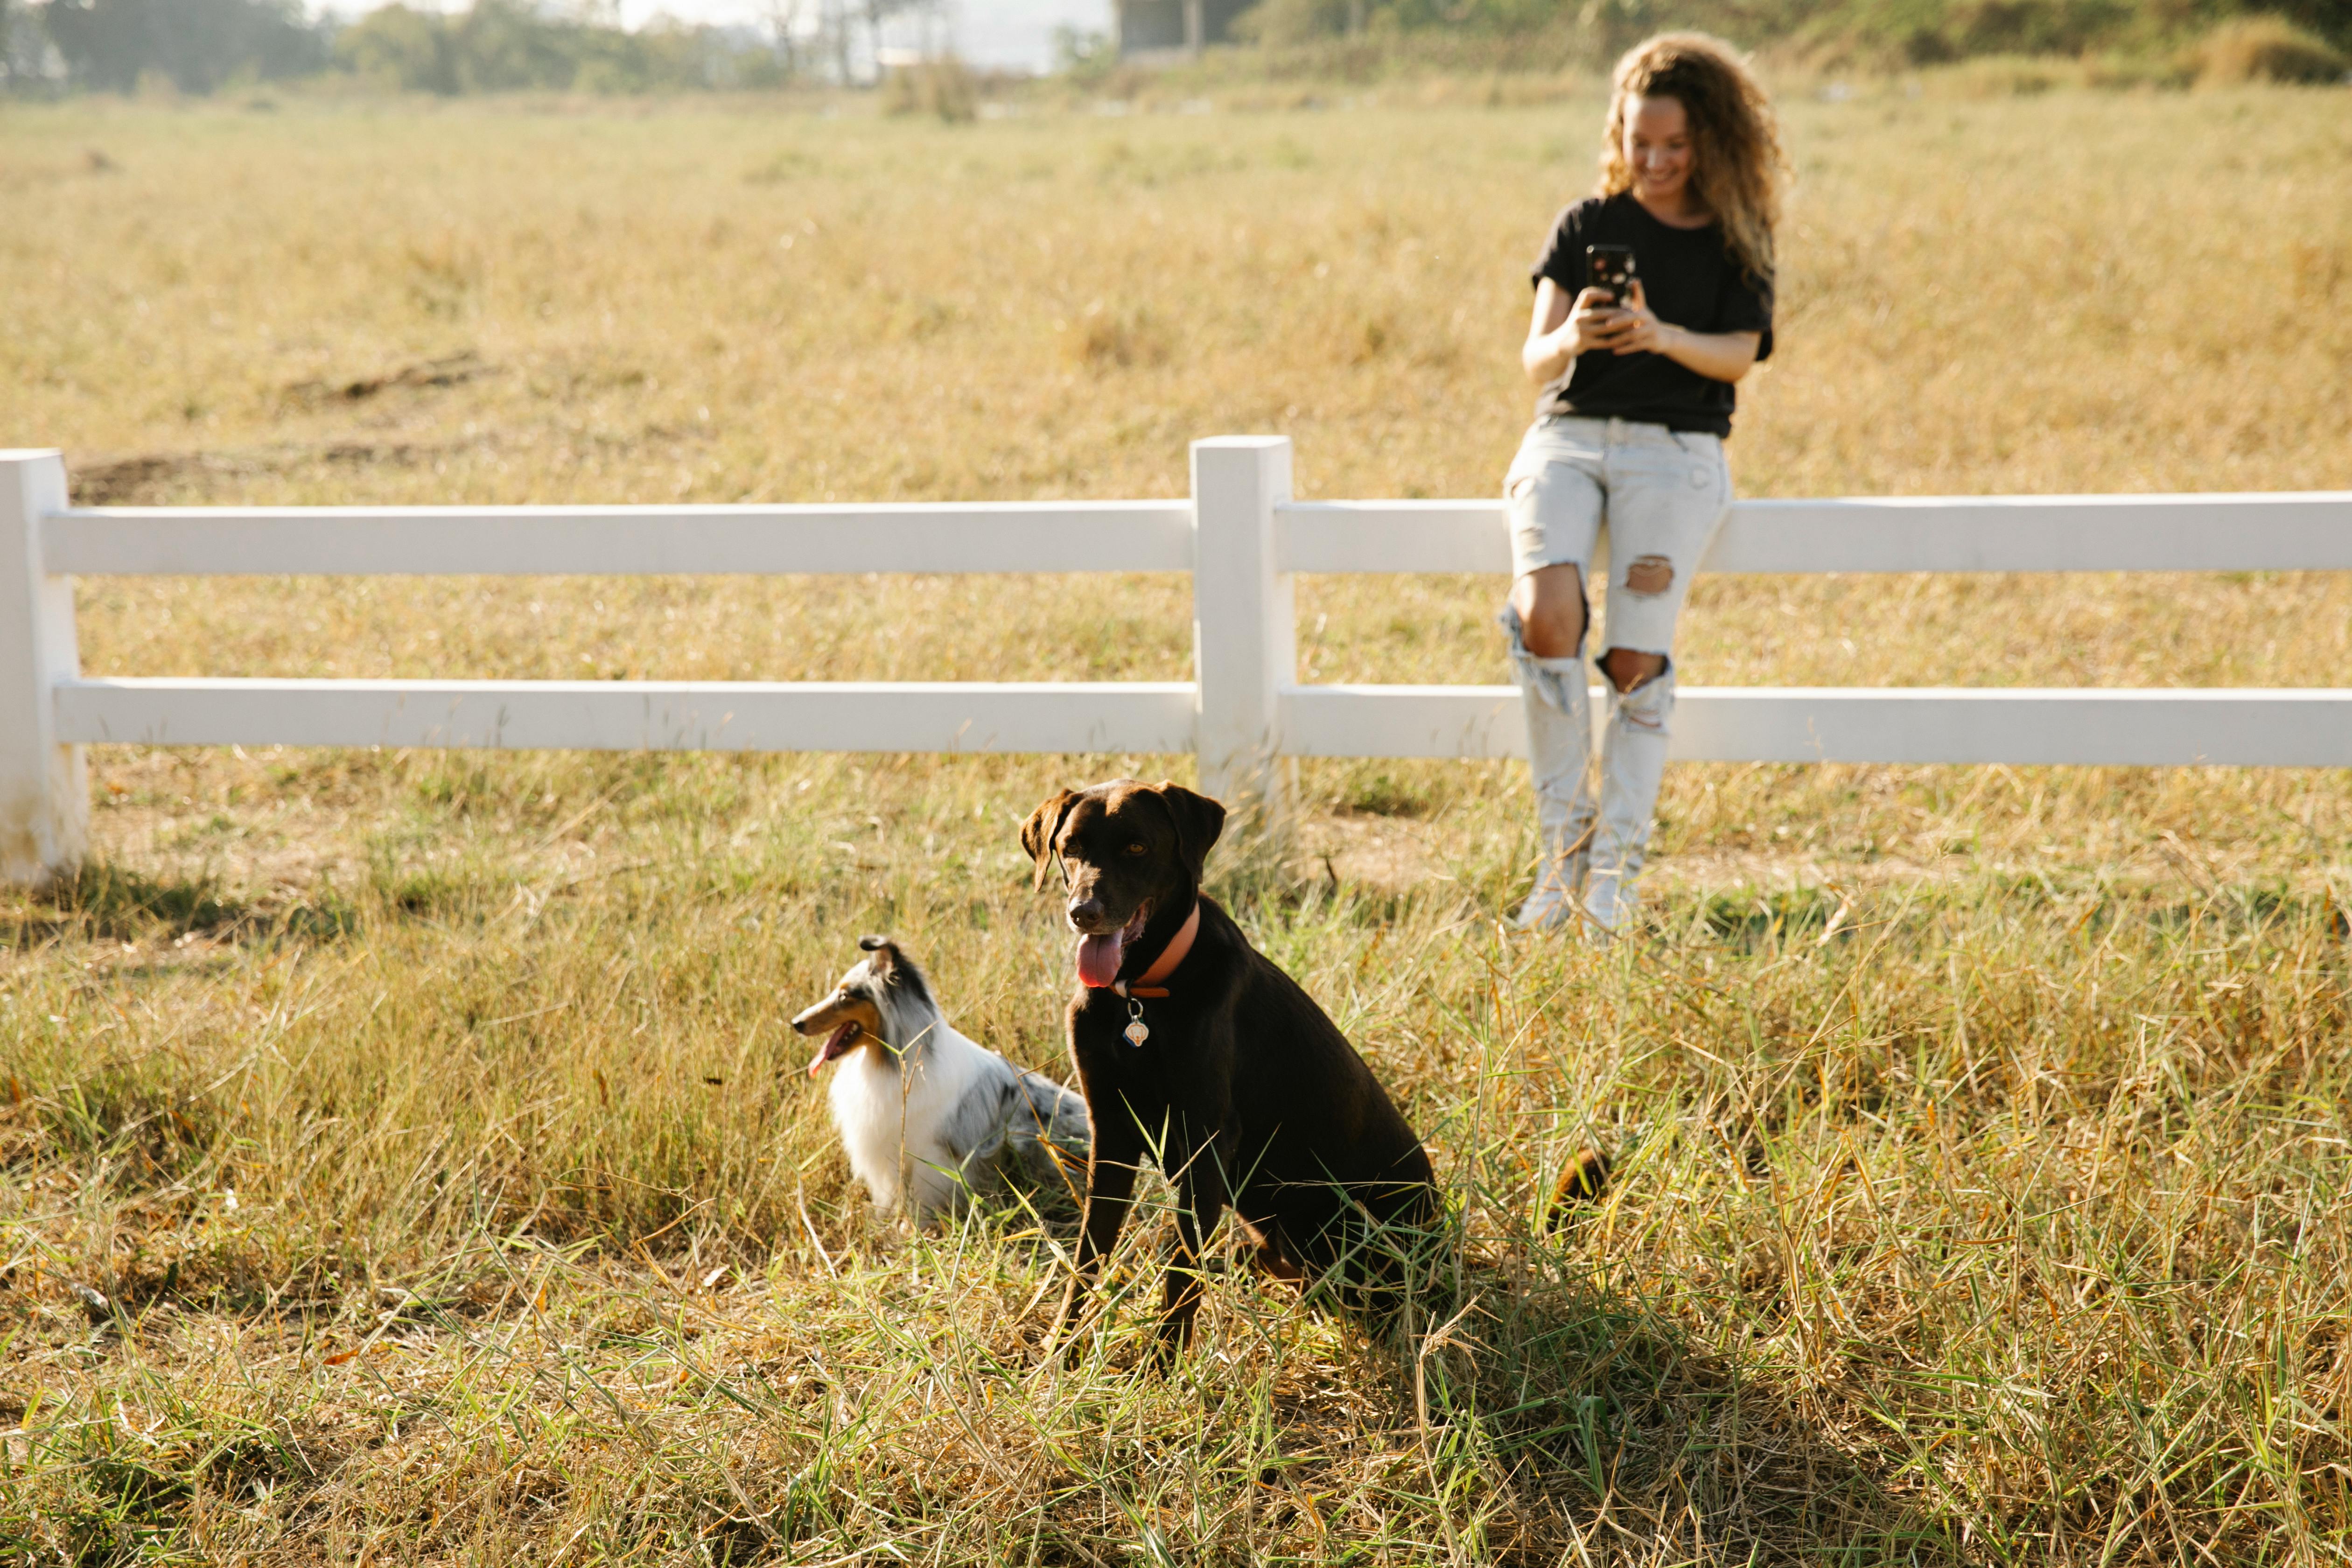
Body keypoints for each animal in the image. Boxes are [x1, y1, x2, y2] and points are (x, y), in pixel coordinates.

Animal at [785, 931, 1086, 1222]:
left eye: (846, 997)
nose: (796, 1023)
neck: (897, 1059)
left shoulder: (931, 1158)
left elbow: (923, 1202)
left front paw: (915, 1231)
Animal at [1025, 780, 1439, 1363]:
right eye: (1071, 847)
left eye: (1137, 847)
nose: (1084, 912)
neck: (1138, 1000)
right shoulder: (1110, 1131)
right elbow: (1088, 1256)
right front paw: (1061, 1355)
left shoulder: (1207, 1139)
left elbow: (1182, 1271)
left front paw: (1163, 1368)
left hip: (1340, 1217)